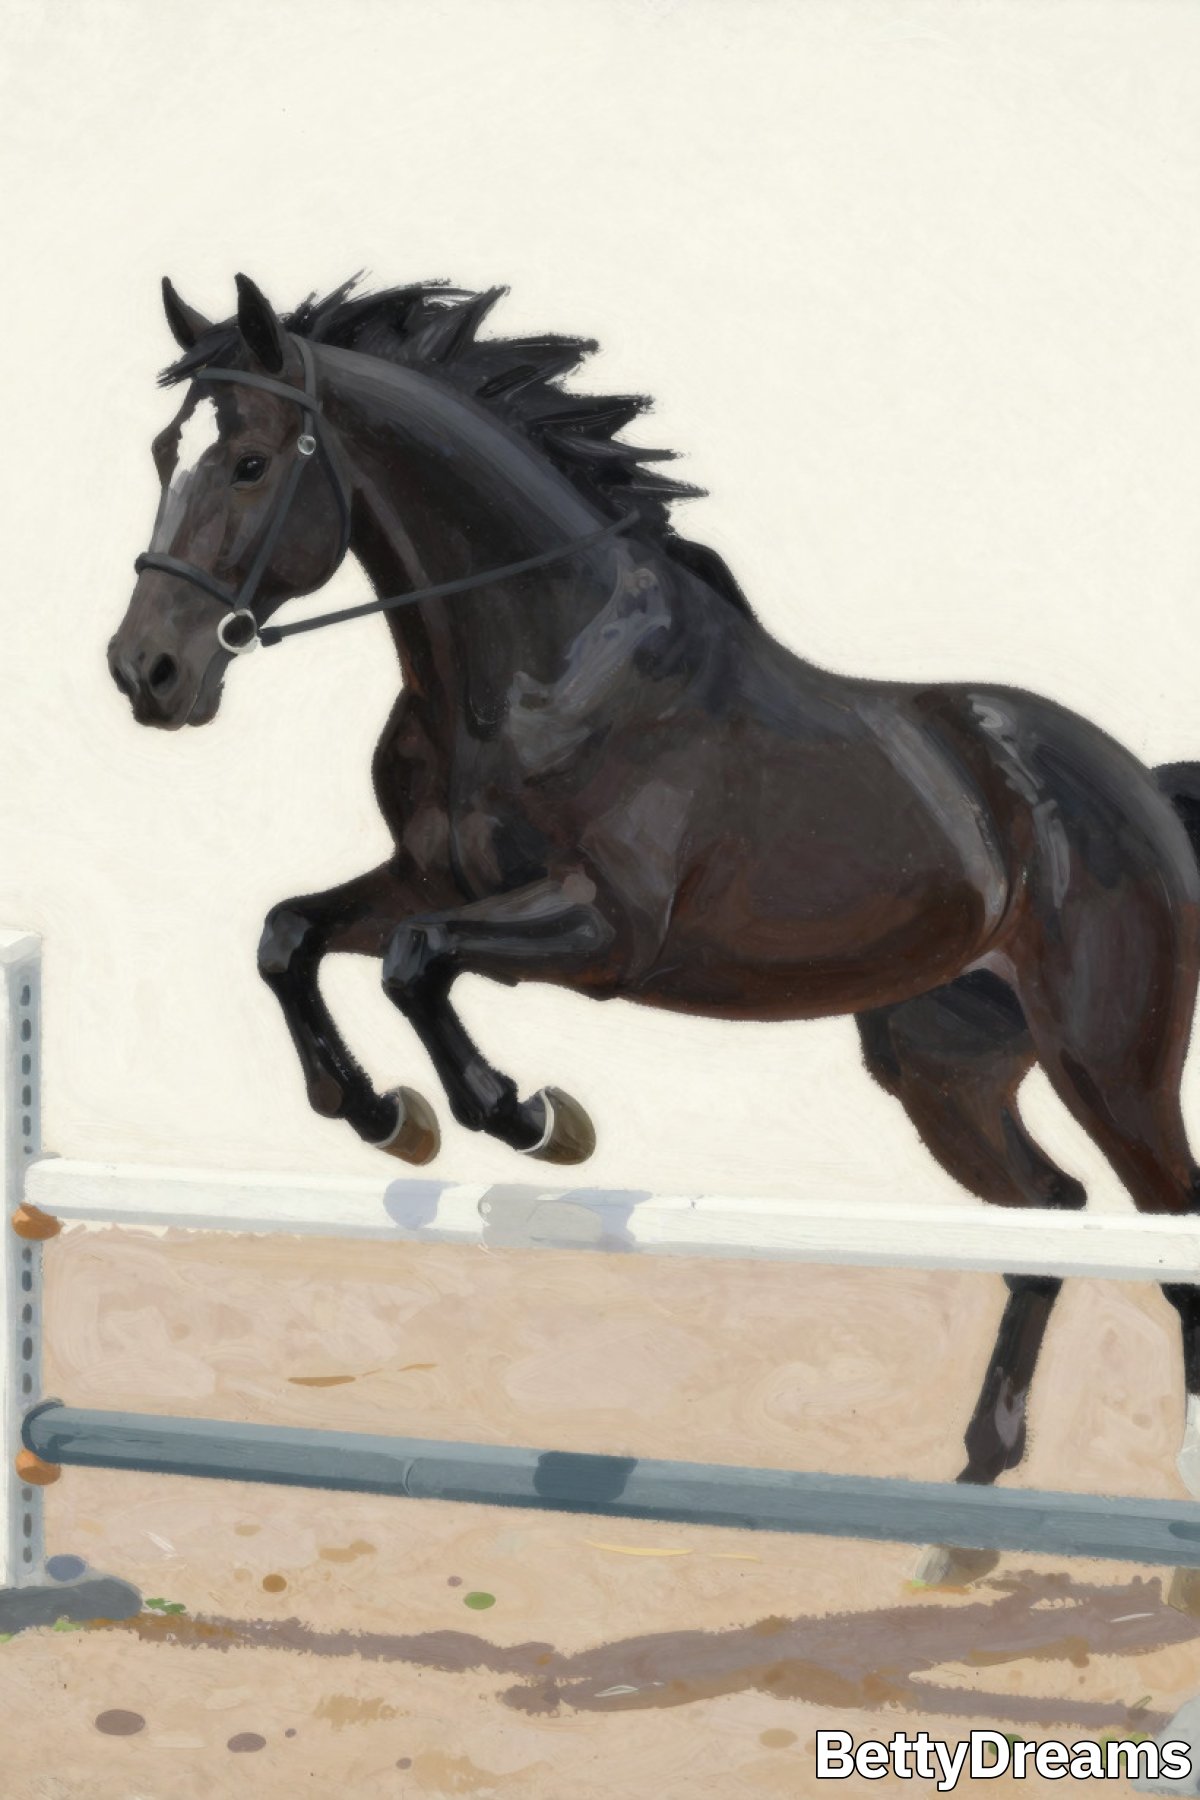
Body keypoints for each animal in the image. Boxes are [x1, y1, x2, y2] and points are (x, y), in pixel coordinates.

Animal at [109, 271, 1200, 1598]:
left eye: (253, 462)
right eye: (164, 453)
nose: (147, 673)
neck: (532, 661)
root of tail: (1135, 782)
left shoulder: (605, 933)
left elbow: (421, 969)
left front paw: (531, 1118)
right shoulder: (420, 881)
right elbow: (289, 937)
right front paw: (379, 1114)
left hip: (1110, 1060)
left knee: (1170, 1234)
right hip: (944, 1069)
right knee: (1047, 1218)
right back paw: (964, 1517)